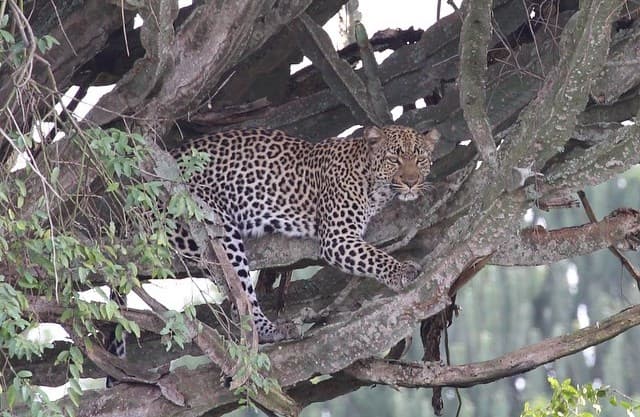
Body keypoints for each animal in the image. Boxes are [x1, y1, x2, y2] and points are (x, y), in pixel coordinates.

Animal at [165, 124, 441, 343]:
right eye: (394, 159)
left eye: (420, 160)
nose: (411, 182)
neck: (372, 183)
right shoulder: (337, 237)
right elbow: (374, 256)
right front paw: (401, 271)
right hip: (213, 224)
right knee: (240, 298)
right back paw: (269, 330)